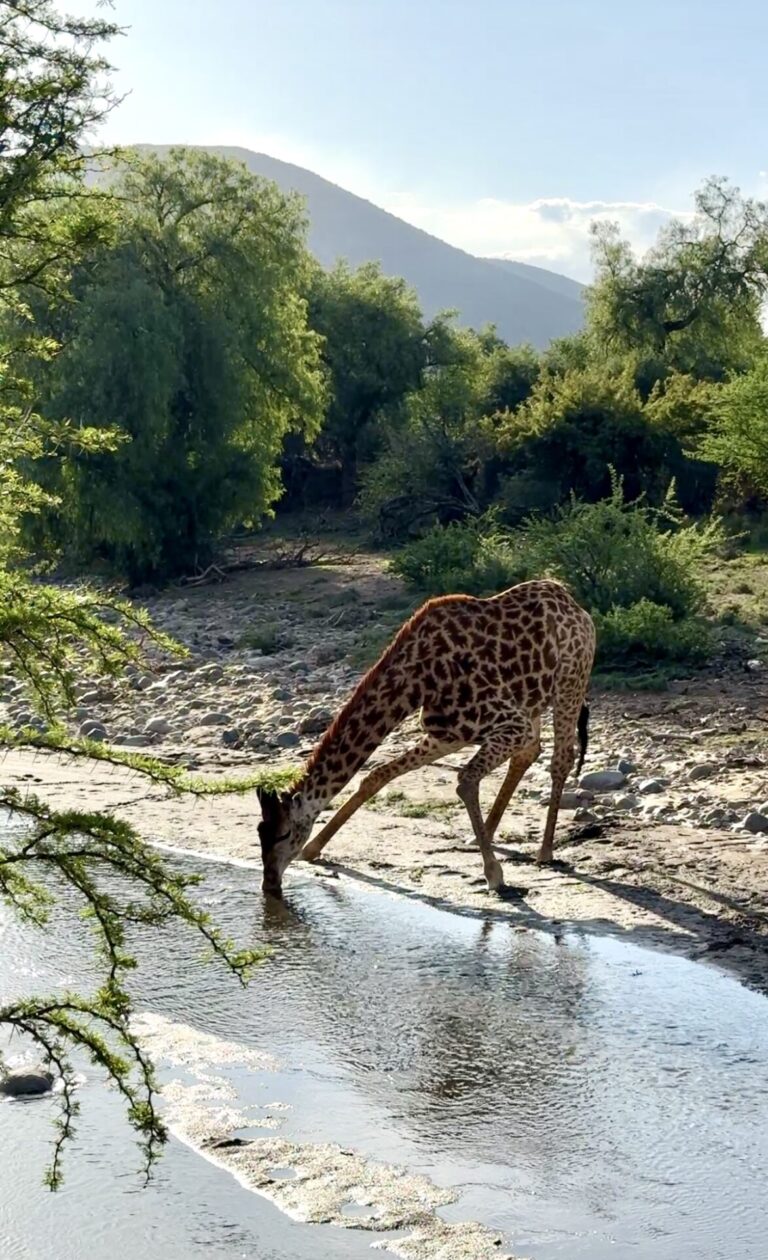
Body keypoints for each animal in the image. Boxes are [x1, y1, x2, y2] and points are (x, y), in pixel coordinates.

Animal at [255, 577, 591, 897]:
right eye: (259, 833)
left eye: (284, 834)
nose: (269, 883)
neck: (416, 682)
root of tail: (572, 602)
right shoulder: (448, 732)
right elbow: (377, 775)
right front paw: (315, 848)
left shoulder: (510, 724)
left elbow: (465, 781)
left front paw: (494, 874)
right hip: (531, 699)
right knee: (529, 753)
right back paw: (484, 834)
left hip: (570, 681)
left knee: (560, 759)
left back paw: (544, 851)